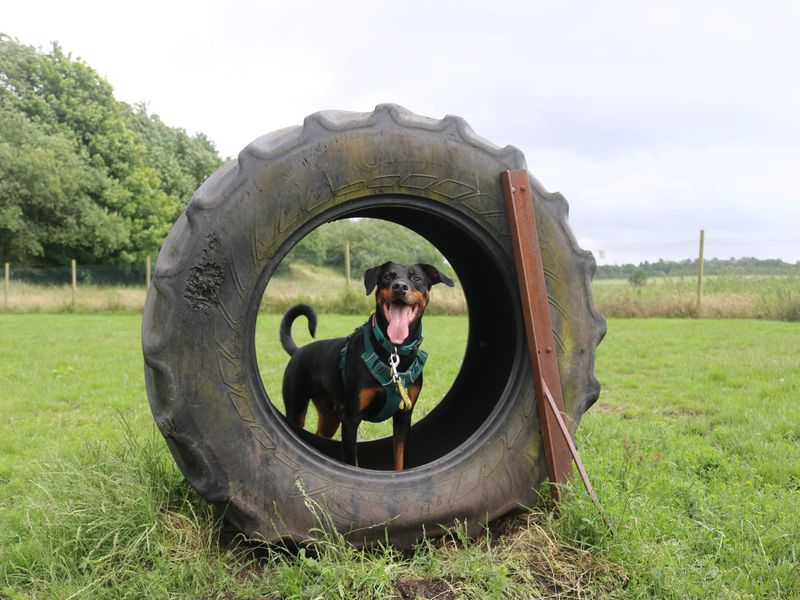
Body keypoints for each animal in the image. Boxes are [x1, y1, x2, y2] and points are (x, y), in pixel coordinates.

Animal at [278, 260, 454, 472]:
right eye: (387, 277)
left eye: (416, 278)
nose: (400, 286)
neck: (393, 352)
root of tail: (298, 351)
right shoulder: (350, 419)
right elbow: (352, 461)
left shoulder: (403, 417)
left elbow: (399, 460)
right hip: (296, 408)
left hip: (330, 416)